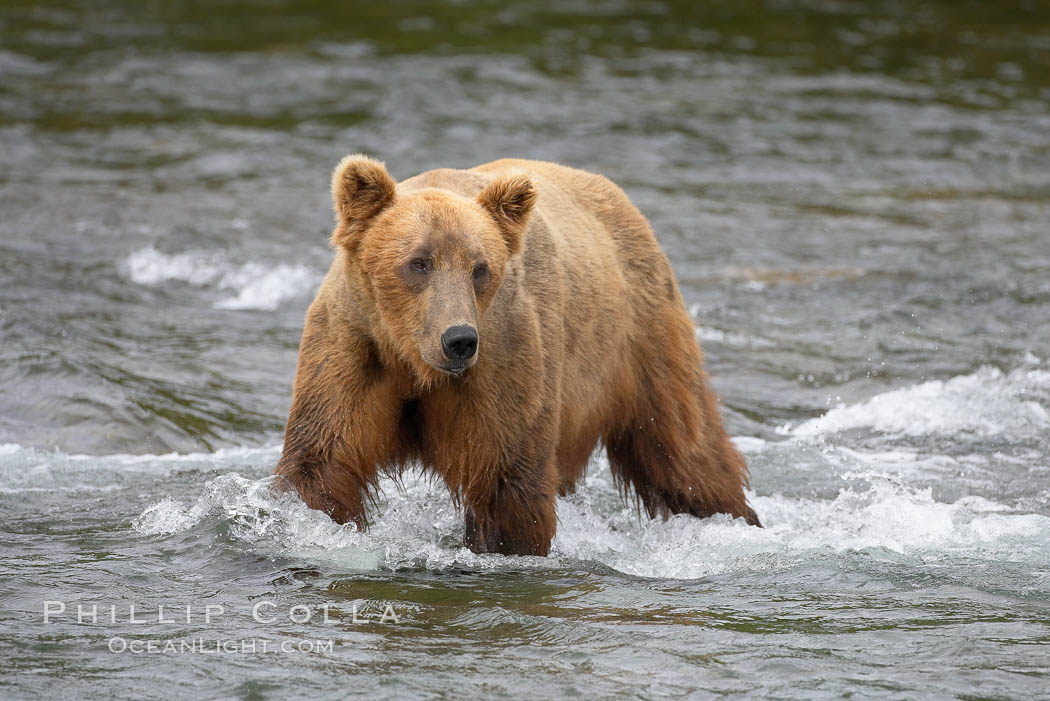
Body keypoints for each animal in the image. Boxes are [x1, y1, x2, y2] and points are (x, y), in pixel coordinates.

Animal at [275, 156, 760, 554]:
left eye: (480, 268)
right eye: (418, 262)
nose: (458, 339)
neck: (413, 362)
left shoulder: (505, 357)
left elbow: (505, 481)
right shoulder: (354, 348)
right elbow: (323, 459)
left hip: (641, 336)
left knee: (683, 446)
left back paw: (734, 517)